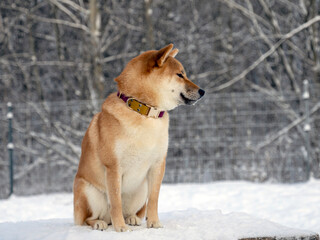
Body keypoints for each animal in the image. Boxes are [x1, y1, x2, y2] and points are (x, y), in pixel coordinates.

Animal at [73, 44, 205, 232]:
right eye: (180, 74)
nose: (202, 91)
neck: (144, 112)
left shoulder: (158, 165)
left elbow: (154, 200)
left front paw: (154, 223)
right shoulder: (113, 167)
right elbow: (115, 201)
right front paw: (120, 227)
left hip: (140, 190)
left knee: (132, 210)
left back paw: (132, 218)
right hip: (88, 191)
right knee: (88, 218)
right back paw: (100, 223)